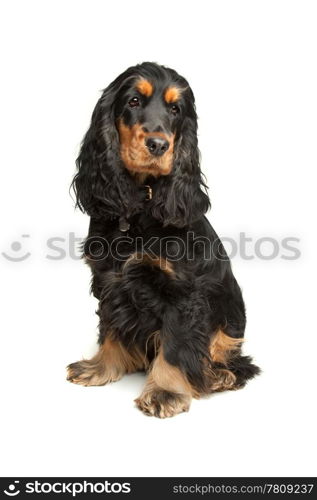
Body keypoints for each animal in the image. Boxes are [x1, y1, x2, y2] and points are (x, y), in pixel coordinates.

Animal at [67, 60, 260, 416]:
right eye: (133, 101)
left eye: (175, 109)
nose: (158, 144)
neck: (139, 208)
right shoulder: (110, 280)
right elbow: (110, 328)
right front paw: (100, 367)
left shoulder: (183, 292)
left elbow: (174, 345)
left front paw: (165, 392)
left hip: (229, 321)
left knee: (238, 362)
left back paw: (217, 376)